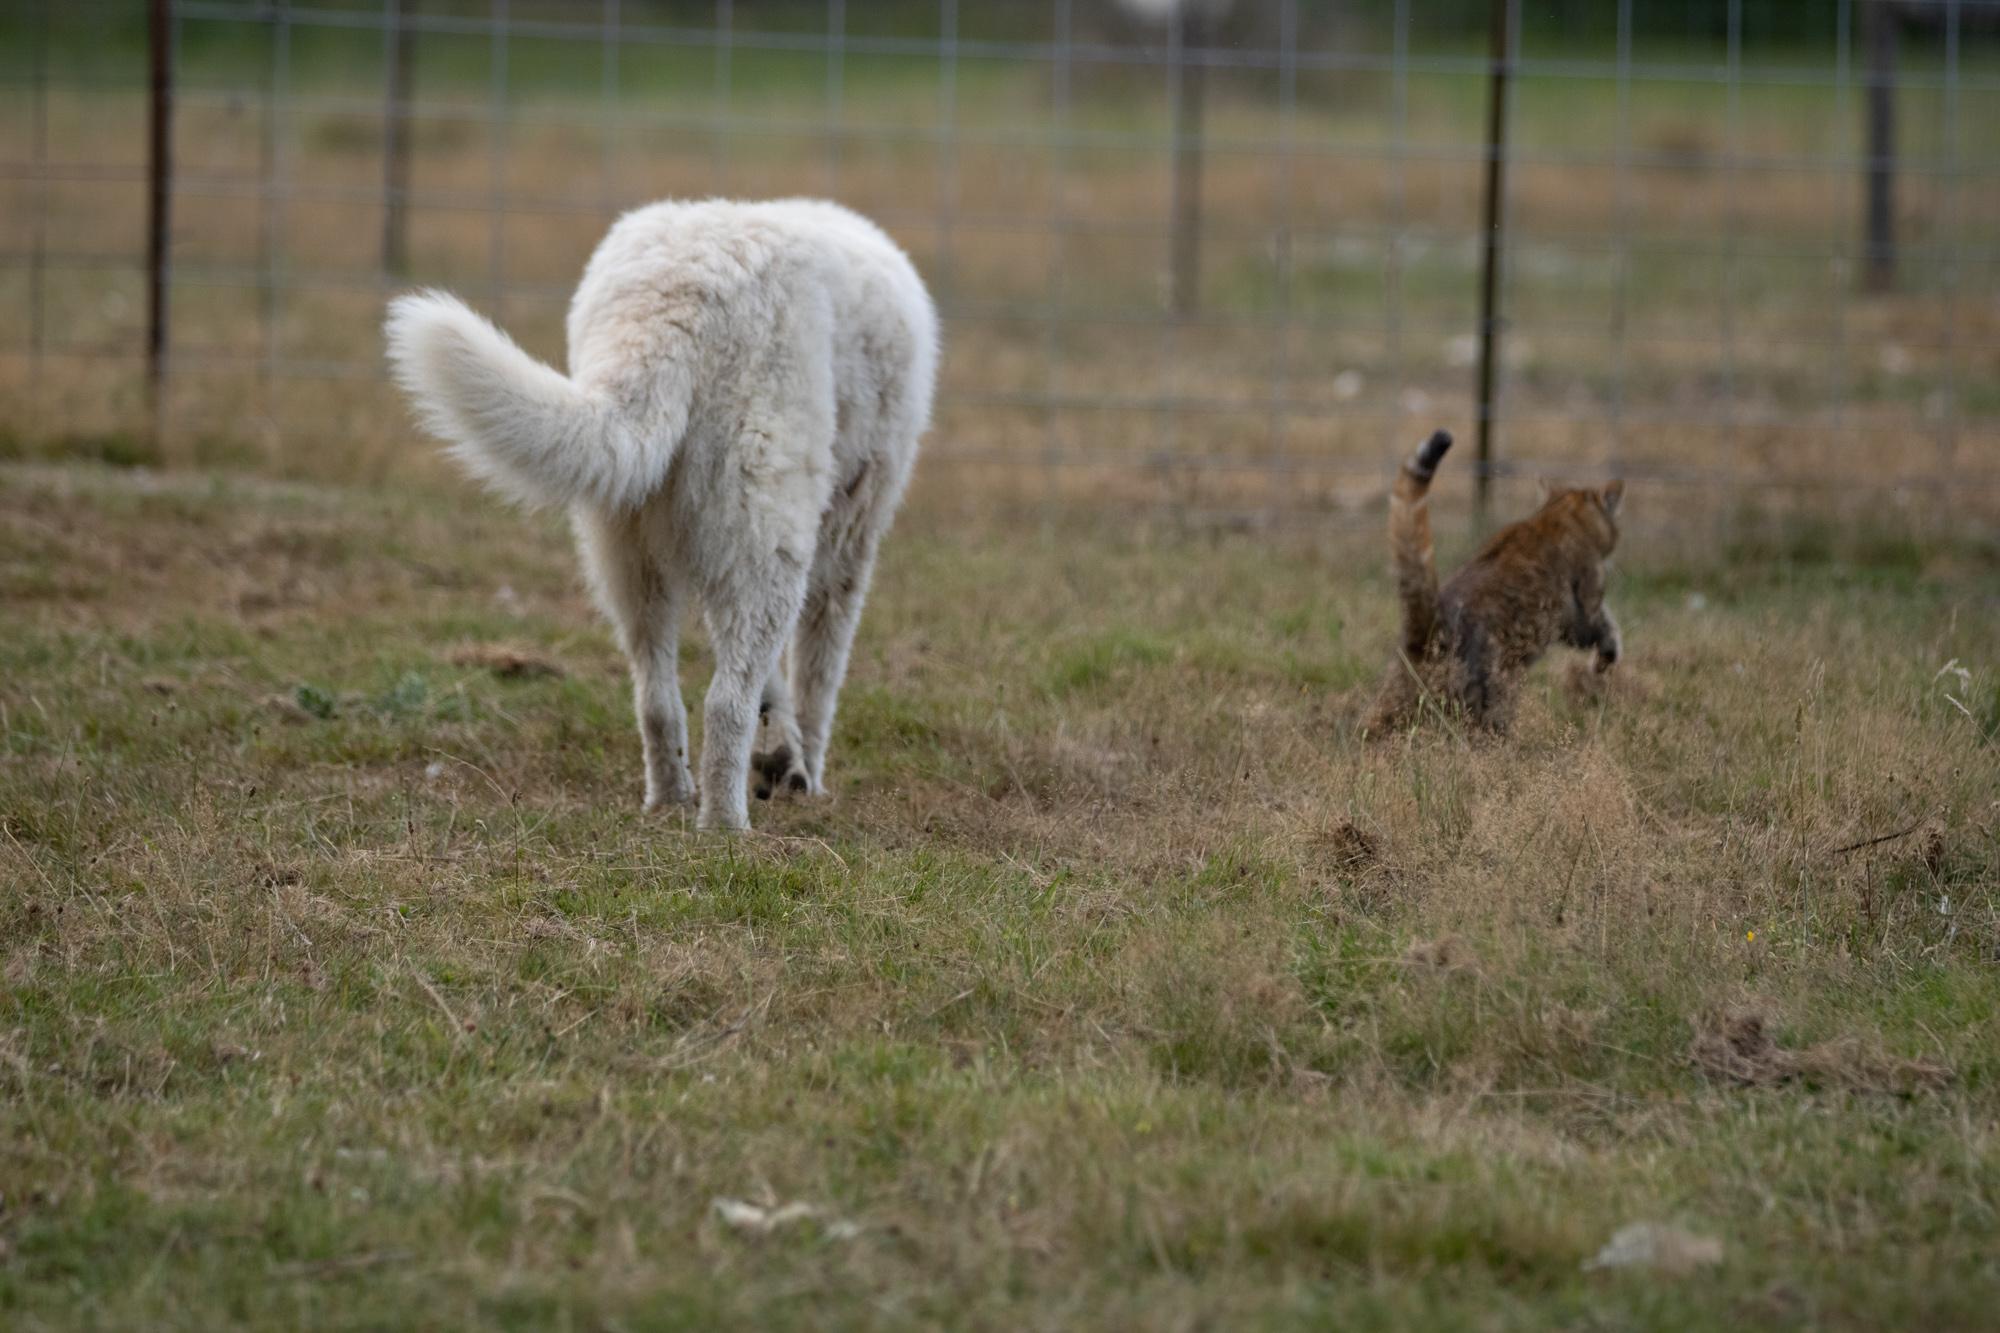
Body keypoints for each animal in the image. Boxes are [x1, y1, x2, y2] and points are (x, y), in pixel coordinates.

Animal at [388, 197, 936, 824]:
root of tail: (670, 304)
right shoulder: (847, 543)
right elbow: (818, 680)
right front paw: (807, 774)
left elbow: (776, 685)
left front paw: (781, 757)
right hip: (764, 540)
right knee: (724, 703)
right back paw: (724, 824)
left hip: (627, 550)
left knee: (657, 698)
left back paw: (671, 797)